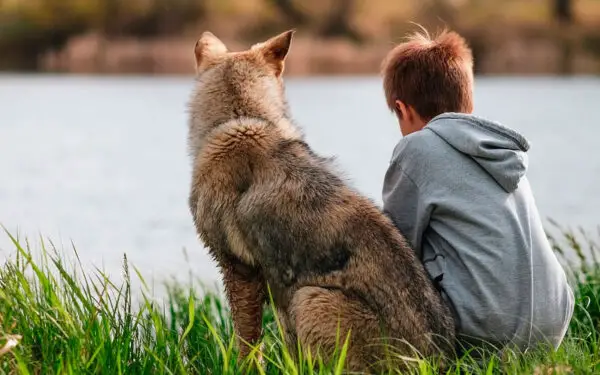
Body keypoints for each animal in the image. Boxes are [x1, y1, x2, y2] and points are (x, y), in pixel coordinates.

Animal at [188, 29, 454, 374]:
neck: (242, 118)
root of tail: (436, 362)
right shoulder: (277, 293)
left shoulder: (239, 272)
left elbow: (247, 346)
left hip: (310, 298)